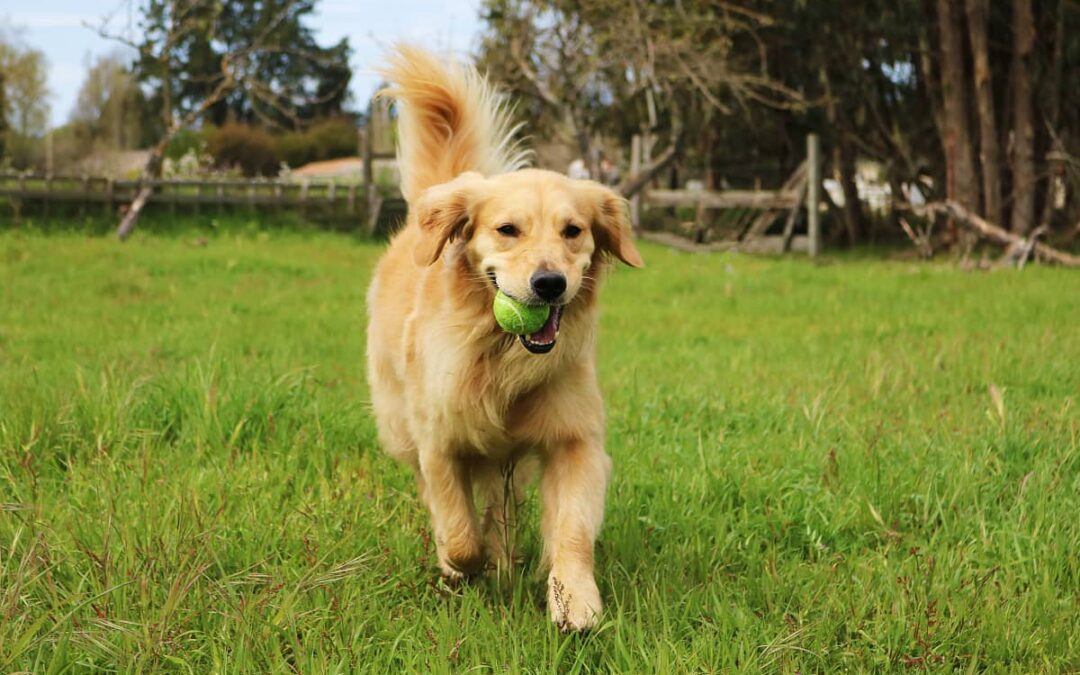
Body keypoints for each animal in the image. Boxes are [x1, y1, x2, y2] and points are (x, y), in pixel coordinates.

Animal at [367, 47, 643, 630]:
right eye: (507, 229)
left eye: (573, 231)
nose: (549, 283)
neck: (498, 356)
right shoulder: (440, 440)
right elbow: (457, 527)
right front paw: (460, 564)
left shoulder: (574, 438)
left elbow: (572, 528)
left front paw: (575, 601)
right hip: (399, 421)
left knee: (501, 503)